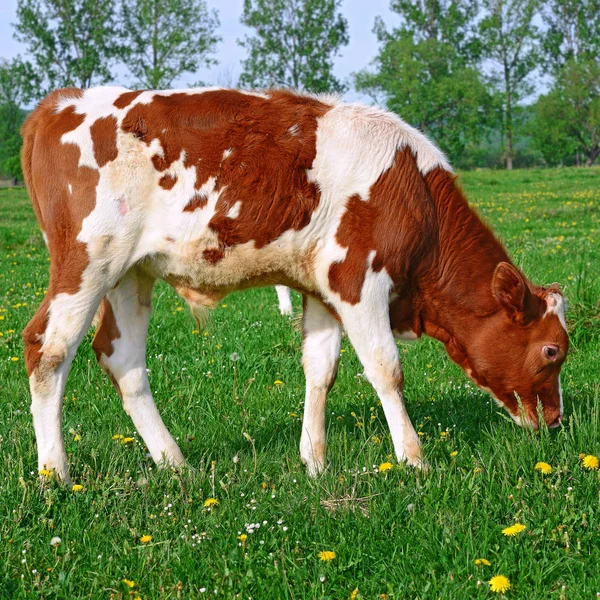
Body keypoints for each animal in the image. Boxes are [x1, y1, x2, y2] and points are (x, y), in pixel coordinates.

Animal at [22, 86, 568, 480]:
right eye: (552, 351)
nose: (555, 421)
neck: (413, 192)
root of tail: (60, 103)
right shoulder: (357, 280)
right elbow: (386, 369)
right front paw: (414, 458)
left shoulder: (322, 288)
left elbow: (320, 370)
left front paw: (315, 461)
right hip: (87, 263)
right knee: (48, 349)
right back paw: (55, 474)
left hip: (131, 274)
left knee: (123, 360)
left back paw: (176, 463)